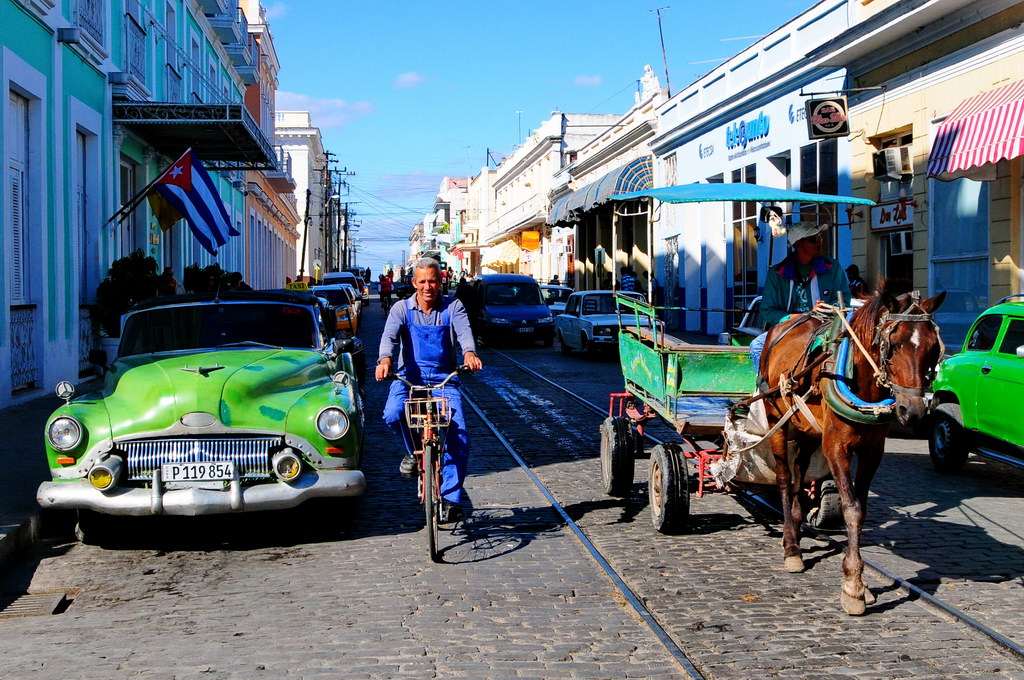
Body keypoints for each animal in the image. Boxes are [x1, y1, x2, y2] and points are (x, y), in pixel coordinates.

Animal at [761, 282, 942, 614]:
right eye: (893, 344)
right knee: (783, 478)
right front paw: (854, 585)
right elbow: (852, 509)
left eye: (933, 348)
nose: (913, 411)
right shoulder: (836, 447)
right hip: (776, 418)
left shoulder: (873, 450)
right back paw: (791, 546)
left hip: (807, 428)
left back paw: (797, 523)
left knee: (798, 472)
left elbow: (863, 507)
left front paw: (861, 583)